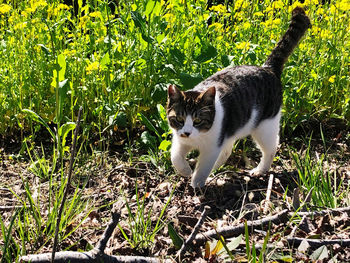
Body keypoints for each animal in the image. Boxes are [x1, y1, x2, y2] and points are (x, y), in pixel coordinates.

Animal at [167, 7, 312, 189]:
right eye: (179, 119)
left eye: (198, 120)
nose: (187, 132)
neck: (197, 138)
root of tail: (268, 68)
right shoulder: (181, 141)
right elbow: (175, 156)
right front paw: (185, 170)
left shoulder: (212, 147)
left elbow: (203, 167)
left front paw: (196, 183)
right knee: (227, 151)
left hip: (265, 126)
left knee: (271, 147)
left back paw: (260, 170)